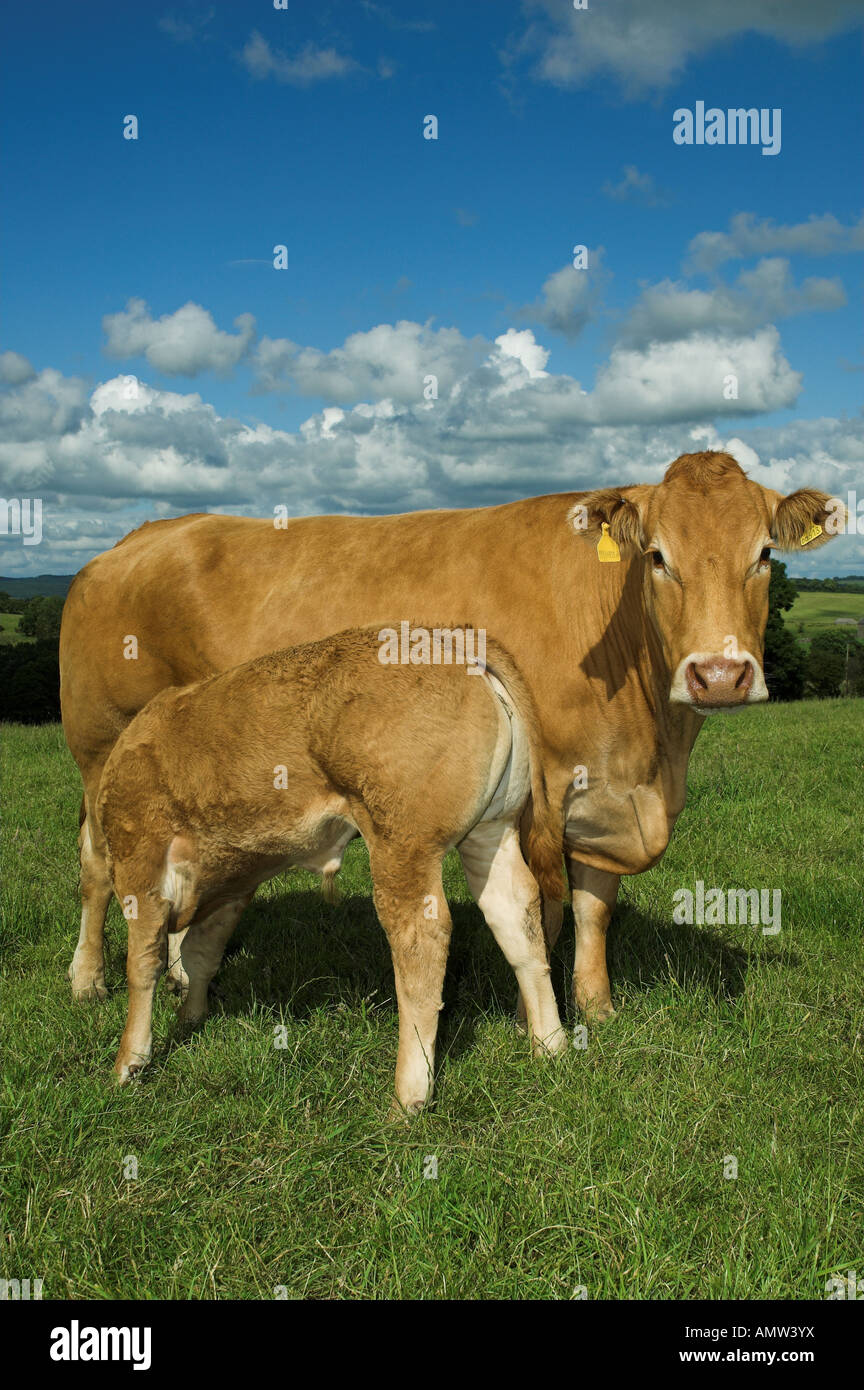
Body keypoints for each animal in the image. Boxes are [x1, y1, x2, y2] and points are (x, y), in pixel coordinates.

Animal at [60, 451, 838, 1023]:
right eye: (657, 556)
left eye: (764, 554)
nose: (719, 675)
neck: (654, 754)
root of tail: (144, 534)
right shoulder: (541, 799)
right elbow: (545, 913)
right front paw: (539, 1018)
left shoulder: (607, 794)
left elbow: (594, 909)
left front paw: (597, 1008)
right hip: (102, 754)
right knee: (97, 863)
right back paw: (88, 978)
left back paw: (179, 972)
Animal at [96, 629, 567, 1110]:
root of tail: (446, 639)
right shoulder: (232, 885)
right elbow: (200, 954)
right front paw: (190, 1017)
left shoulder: (140, 860)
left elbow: (143, 964)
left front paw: (128, 1062)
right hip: (492, 830)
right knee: (518, 919)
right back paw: (550, 1046)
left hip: (402, 843)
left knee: (421, 942)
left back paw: (408, 1096)